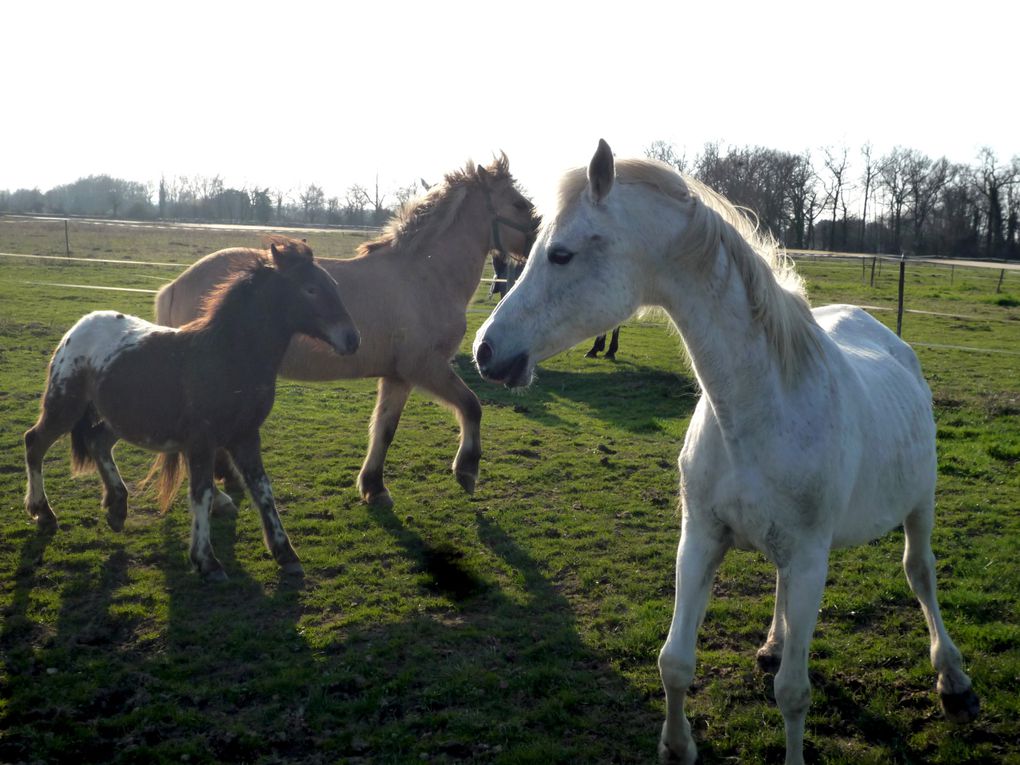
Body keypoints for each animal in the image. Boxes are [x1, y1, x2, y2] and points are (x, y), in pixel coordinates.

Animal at [23, 239, 361, 579]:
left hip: (122, 417)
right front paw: (207, 561)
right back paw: (44, 513)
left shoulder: (245, 436)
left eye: (332, 285)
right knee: (35, 442)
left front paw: (285, 553)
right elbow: (202, 492)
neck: (229, 356)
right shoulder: (202, 441)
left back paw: (117, 508)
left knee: (97, 442)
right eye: (310, 289)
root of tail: (78, 328)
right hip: (65, 405)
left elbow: (262, 489)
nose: (353, 339)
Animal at [155, 157, 538, 510]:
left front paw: (374, 487)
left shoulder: (399, 377)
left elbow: (384, 430)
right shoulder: (425, 367)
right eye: (519, 203)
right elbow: (471, 406)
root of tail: (176, 284)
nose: (538, 246)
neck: (424, 276)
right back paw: (219, 496)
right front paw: (467, 470)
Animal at [475, 139, 979, 765]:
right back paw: (774, 643)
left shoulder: (811, 558)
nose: (485, 350)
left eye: (560, 255)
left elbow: (793, 693)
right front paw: (677, 746)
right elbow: (674, 662)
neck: (757, 413)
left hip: (919, 506)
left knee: (920, 574)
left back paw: (952, 679)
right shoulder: (700, 539)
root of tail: (890, 339)